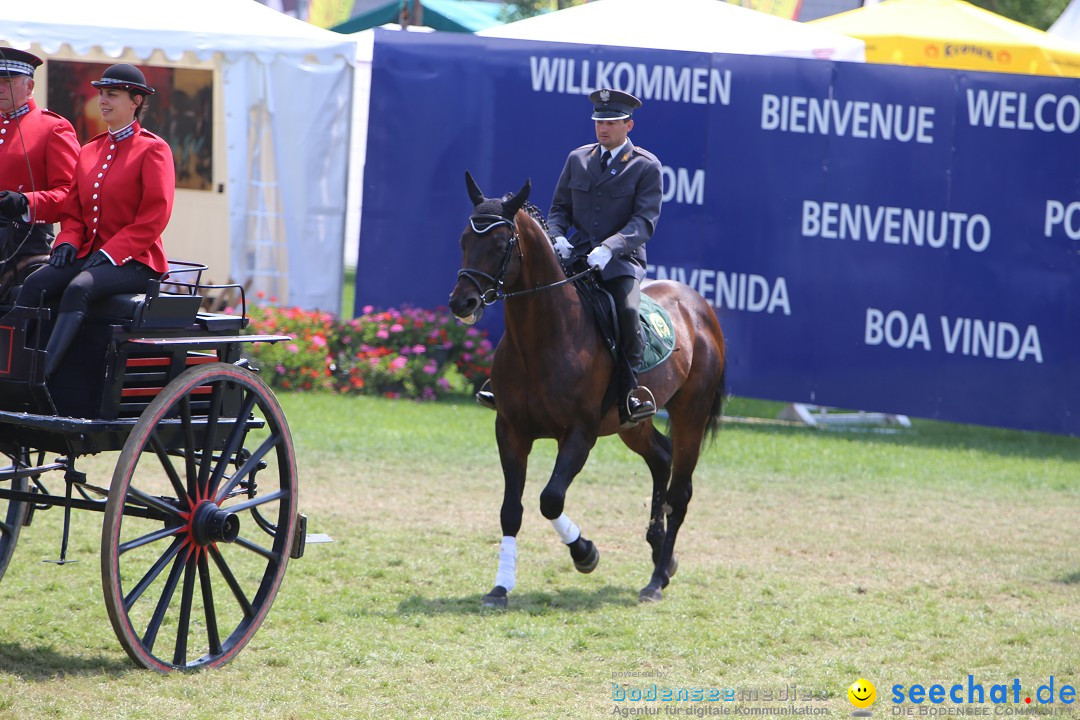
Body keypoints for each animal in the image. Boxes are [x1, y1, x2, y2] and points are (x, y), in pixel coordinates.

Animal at [447, 171, 725, 604]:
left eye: (499, 244)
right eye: (464, 239)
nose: (463, 303)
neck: (542, 337)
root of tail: (698, 303)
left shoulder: (579, 434)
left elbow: (549, 499)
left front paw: (585, 553)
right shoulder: (510, 431)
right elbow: (511, 510)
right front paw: (500, 587)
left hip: (690, 414)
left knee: (679, 493)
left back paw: (656, 579)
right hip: (632, 422)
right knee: (661, 457)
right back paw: (661, 554)